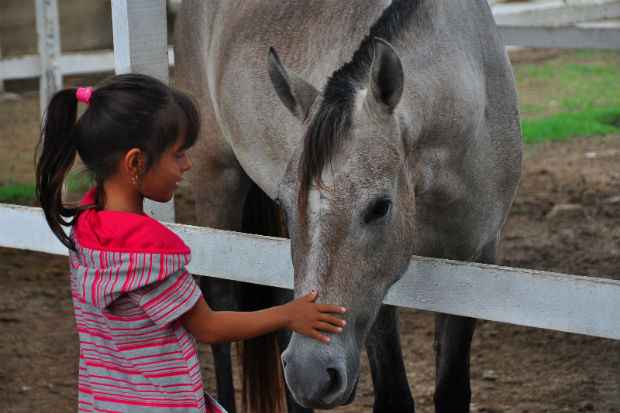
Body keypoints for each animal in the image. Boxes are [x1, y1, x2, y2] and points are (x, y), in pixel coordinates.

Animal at [174, 0, 524, 412]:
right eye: (285, 203)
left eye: (380, 207)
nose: (309, 372)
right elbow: (393, 396)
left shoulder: (475, 261)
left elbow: (452, 389)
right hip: (217, 178)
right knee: (221, 299)